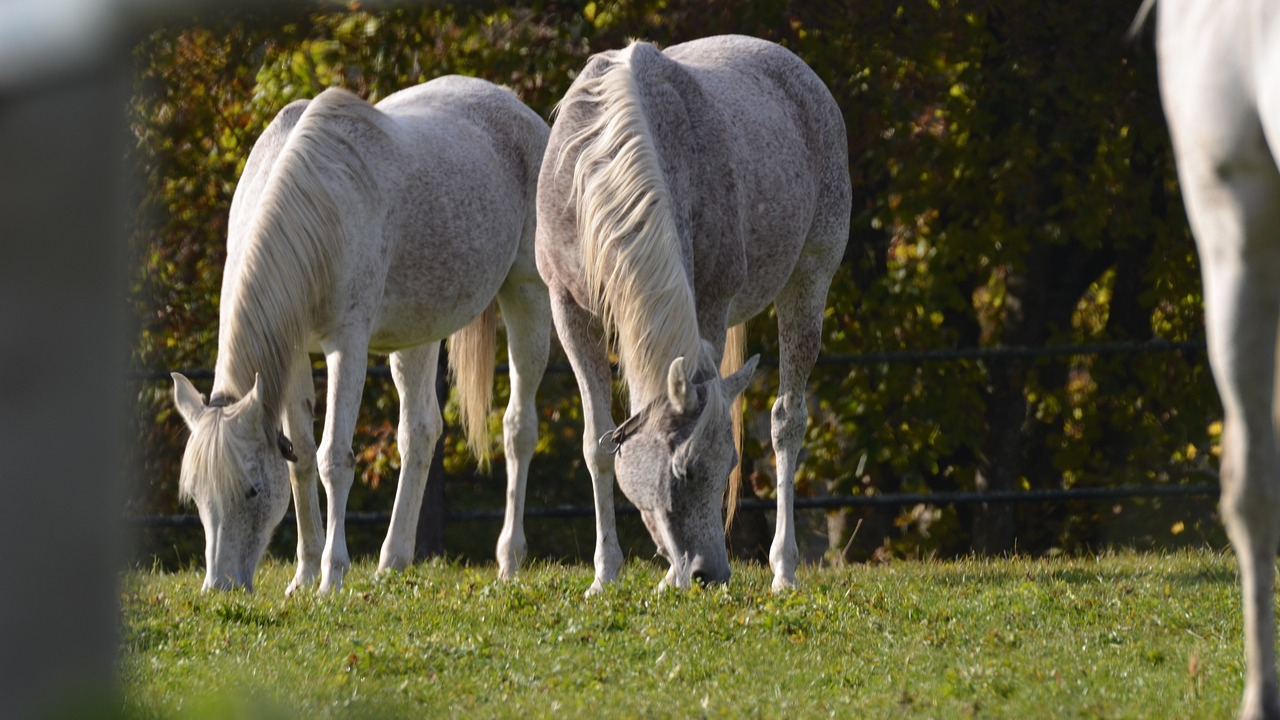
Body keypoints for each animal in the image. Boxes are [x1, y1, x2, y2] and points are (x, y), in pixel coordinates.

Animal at [170, 76, 552, 594]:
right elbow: (301, 460)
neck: (317, 209)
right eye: (196, 496)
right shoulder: (292, 356)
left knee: (517, 429)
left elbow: (334, 457)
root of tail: (518, 109)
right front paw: (305, 574)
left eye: (250, 491)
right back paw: (393, 560)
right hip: (417, 334)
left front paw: (331, 576)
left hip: (527, 295)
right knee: (420, 432)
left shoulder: (346, 347)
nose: (219, 587)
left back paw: (509, 559)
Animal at [536, 35, 850, 593]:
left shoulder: (709, 304)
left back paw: (784, 570)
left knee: (787, 422)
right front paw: (604, 574)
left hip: (810, 280)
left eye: (727, 465)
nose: (709, 573)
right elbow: (597, 444)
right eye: (679, 471)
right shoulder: (567, 307)